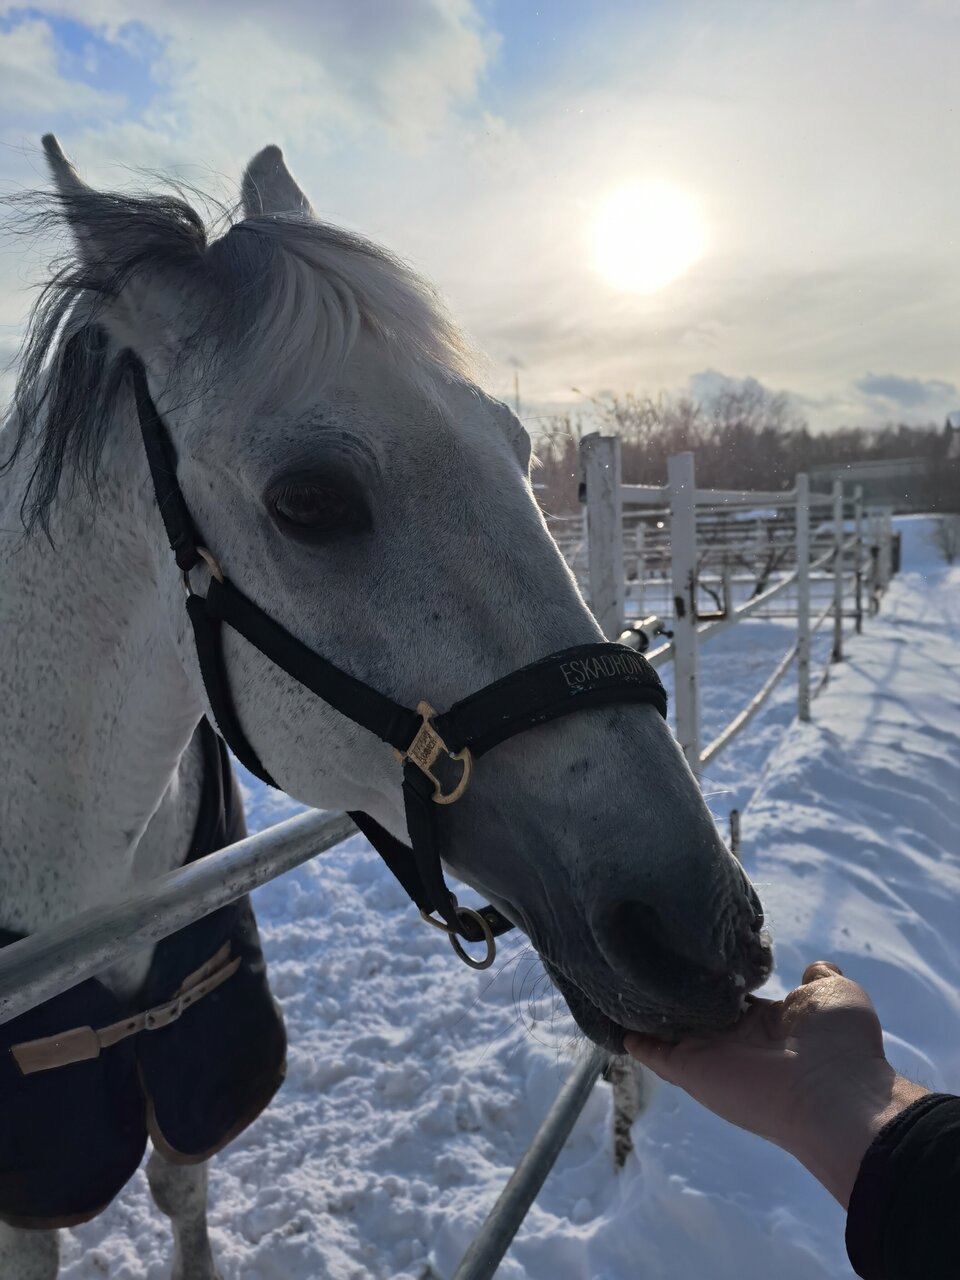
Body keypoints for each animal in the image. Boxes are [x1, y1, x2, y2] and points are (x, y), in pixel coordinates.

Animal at [0, 135, 772, 1279]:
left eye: (515, 444)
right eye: (309, 502)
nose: (706, 928)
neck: (89, 886)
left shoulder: (191, 1070)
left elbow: (183, 1189)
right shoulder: (40, 1158)